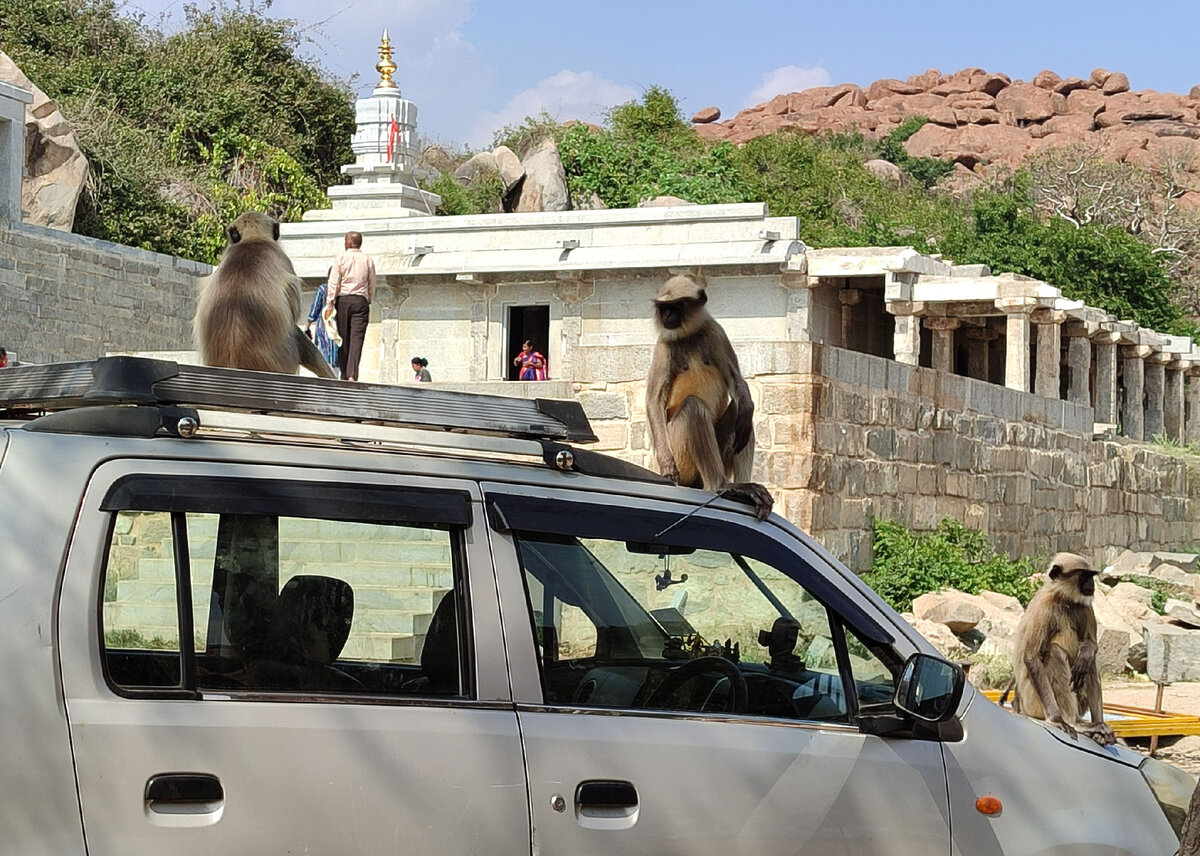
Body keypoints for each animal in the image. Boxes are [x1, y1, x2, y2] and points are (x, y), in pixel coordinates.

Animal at [648, 273, 777, 518]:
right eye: (663, 308)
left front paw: (746, 406)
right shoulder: (663, 346)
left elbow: (737, 382)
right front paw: (667, 465)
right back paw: (720, 485)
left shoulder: (715, 331)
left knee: (740, 413)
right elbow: (654, 402)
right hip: (680, 452)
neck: (688, 336)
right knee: (693, 407)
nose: (667, 316)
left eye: (676, 307)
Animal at [1003, 549, 1113, 744]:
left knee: (1089, 662)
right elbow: (1031, 657)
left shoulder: (1085, 606)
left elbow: (1091, 644)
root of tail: (1021, 706)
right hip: (1033, 703)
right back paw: (1074, 722)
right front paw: (1056, 719)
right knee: (1054, 652)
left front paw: (1086, 651)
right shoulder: (1043, 608)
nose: (1092, 584)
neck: (1063, 599)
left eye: (1091, 576)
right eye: (1084, 576)